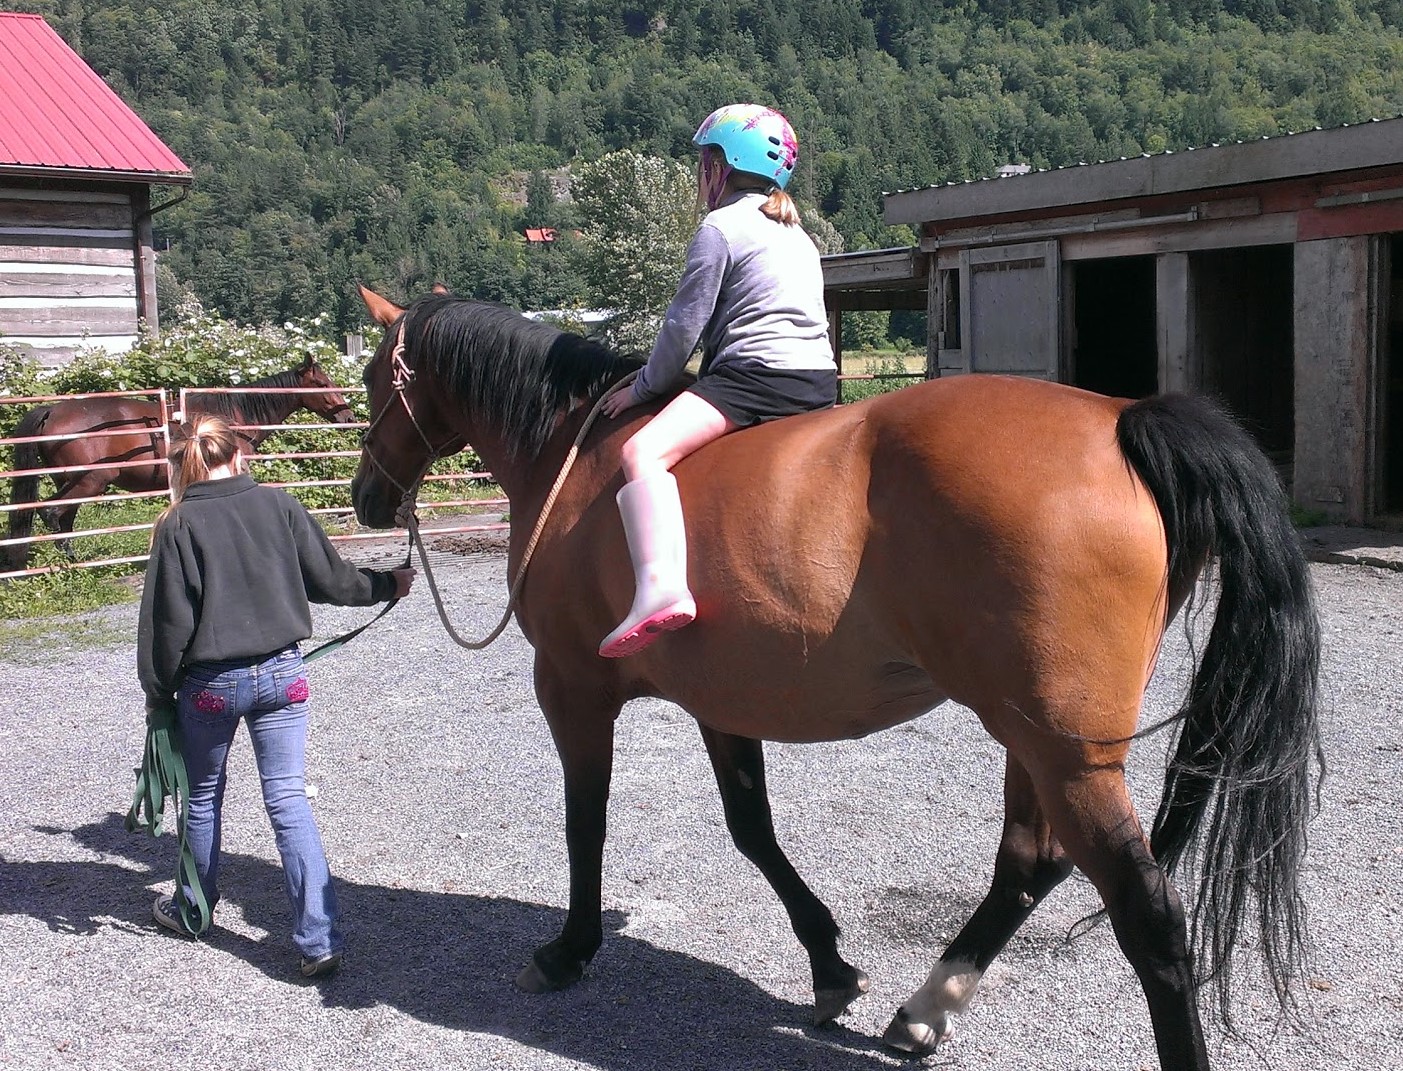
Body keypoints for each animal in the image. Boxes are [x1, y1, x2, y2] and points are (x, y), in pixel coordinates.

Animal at [7, 356, 356, 569]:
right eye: (322, 384)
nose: (349, 417)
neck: (233, 416)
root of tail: (51, 411)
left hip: (73, 482)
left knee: (63, 518)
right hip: (89, 481)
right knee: (53, 514)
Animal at [353, 286, 1324, 1071]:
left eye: (370, 378)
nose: (365, 497)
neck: (575, 454)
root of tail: (1122, 419)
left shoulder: (571, 689)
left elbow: (583, 824)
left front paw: (567, 949)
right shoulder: (721, 699)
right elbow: (751, 828)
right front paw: (828, 965)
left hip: (1062, 753)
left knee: (1147, 916)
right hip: (1040, 740)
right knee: (1029, 862)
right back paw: (924, 1008)